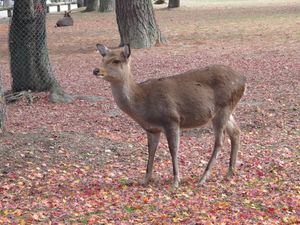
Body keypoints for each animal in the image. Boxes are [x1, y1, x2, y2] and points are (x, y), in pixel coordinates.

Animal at [93, 44, 246, 188]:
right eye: (103, 58)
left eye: (116, 60)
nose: (96, 70)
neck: (142, 104)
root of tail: (243, 80)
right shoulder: (152, 129)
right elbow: (151, 151)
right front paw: (145, 179)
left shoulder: (171, 120)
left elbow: (173, 150)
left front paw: (176, 181)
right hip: (227, 111)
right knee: (236, 132)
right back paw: (230, 173)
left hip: (223, 108)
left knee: (219, 142)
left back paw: (203, 178)